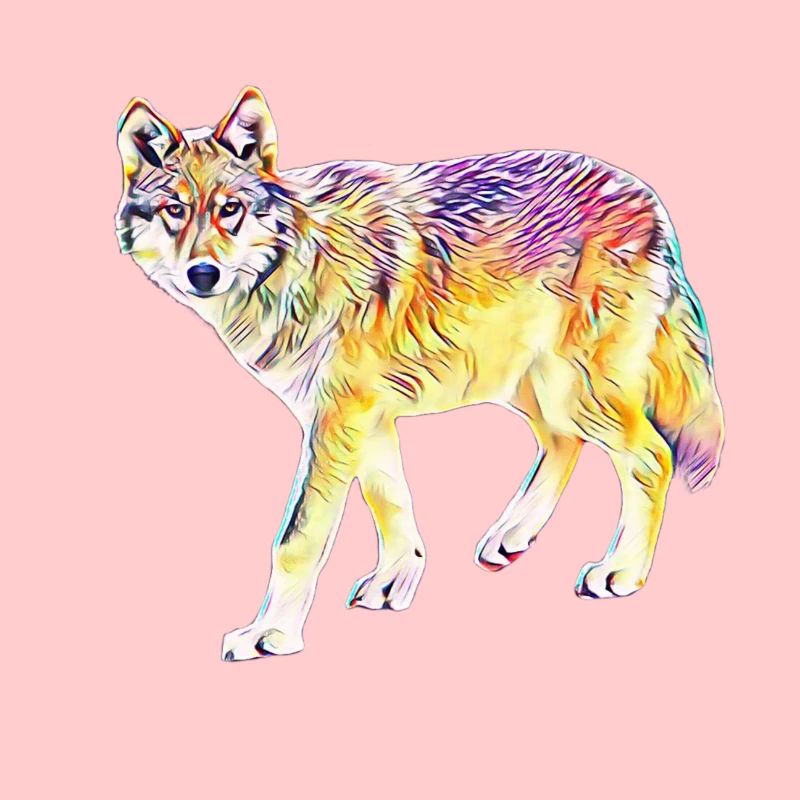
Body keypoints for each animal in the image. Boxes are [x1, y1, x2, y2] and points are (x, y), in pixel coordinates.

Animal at [116, 86, 724, 661]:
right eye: (174, 210)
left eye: (230, 209)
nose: (202, 273)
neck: (299, 262)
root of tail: (647, 197)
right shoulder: (363, 416)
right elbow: (390, 501)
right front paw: (396, 582)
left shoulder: (338, 418)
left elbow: (299, 538)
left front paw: (272, 634)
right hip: (528, 386)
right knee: (563, 442)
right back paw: (512, 534)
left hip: (571, 388)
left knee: (652, 455)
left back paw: (621, 572)